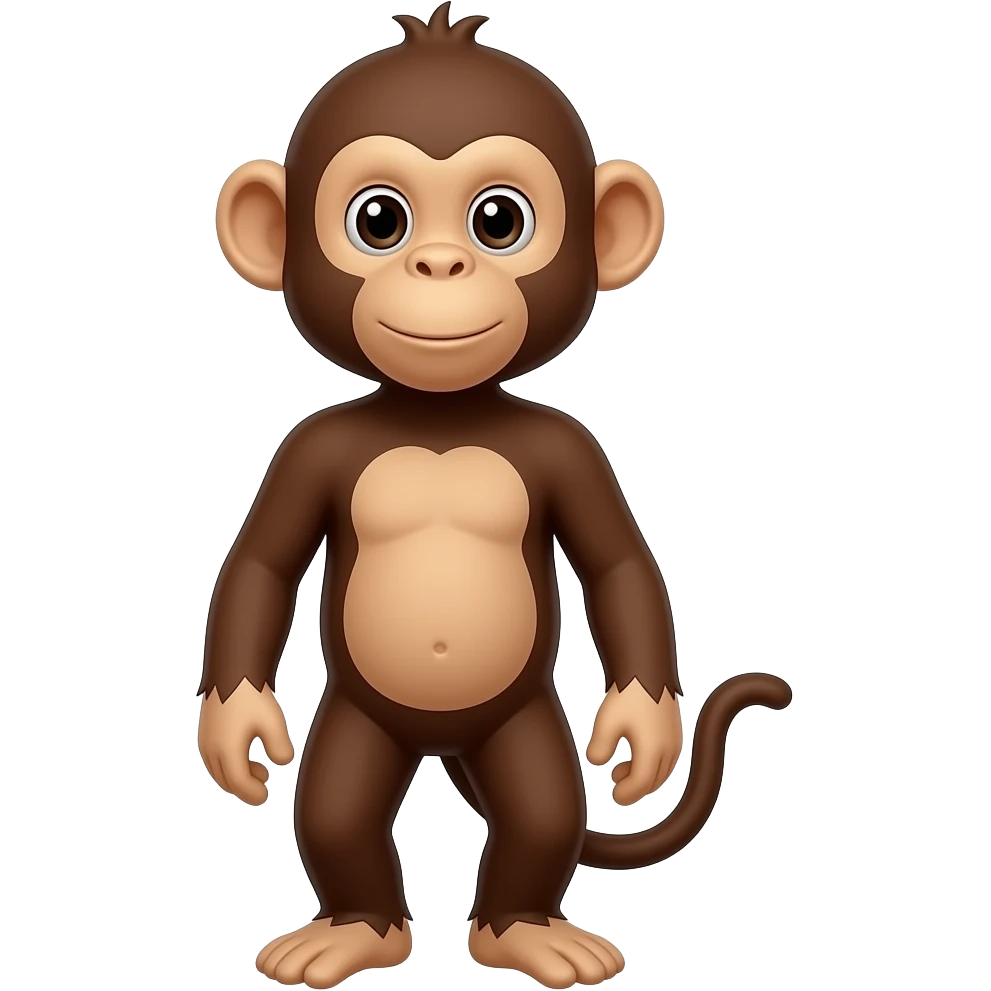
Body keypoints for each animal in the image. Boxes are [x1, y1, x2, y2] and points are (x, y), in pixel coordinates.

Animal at [197, 4, 792, 989]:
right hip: (360, 719)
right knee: (336, 808)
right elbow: (261, 565)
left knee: (541, 809)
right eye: (379, 219)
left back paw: (523, 930)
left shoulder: (571, 448)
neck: (441, 415)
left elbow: (619, 564)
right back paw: (356, 929)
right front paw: (234, 725)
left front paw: (643, 729)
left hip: (520, 722)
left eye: (499, 220)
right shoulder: (306, 449)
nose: (440, 265)